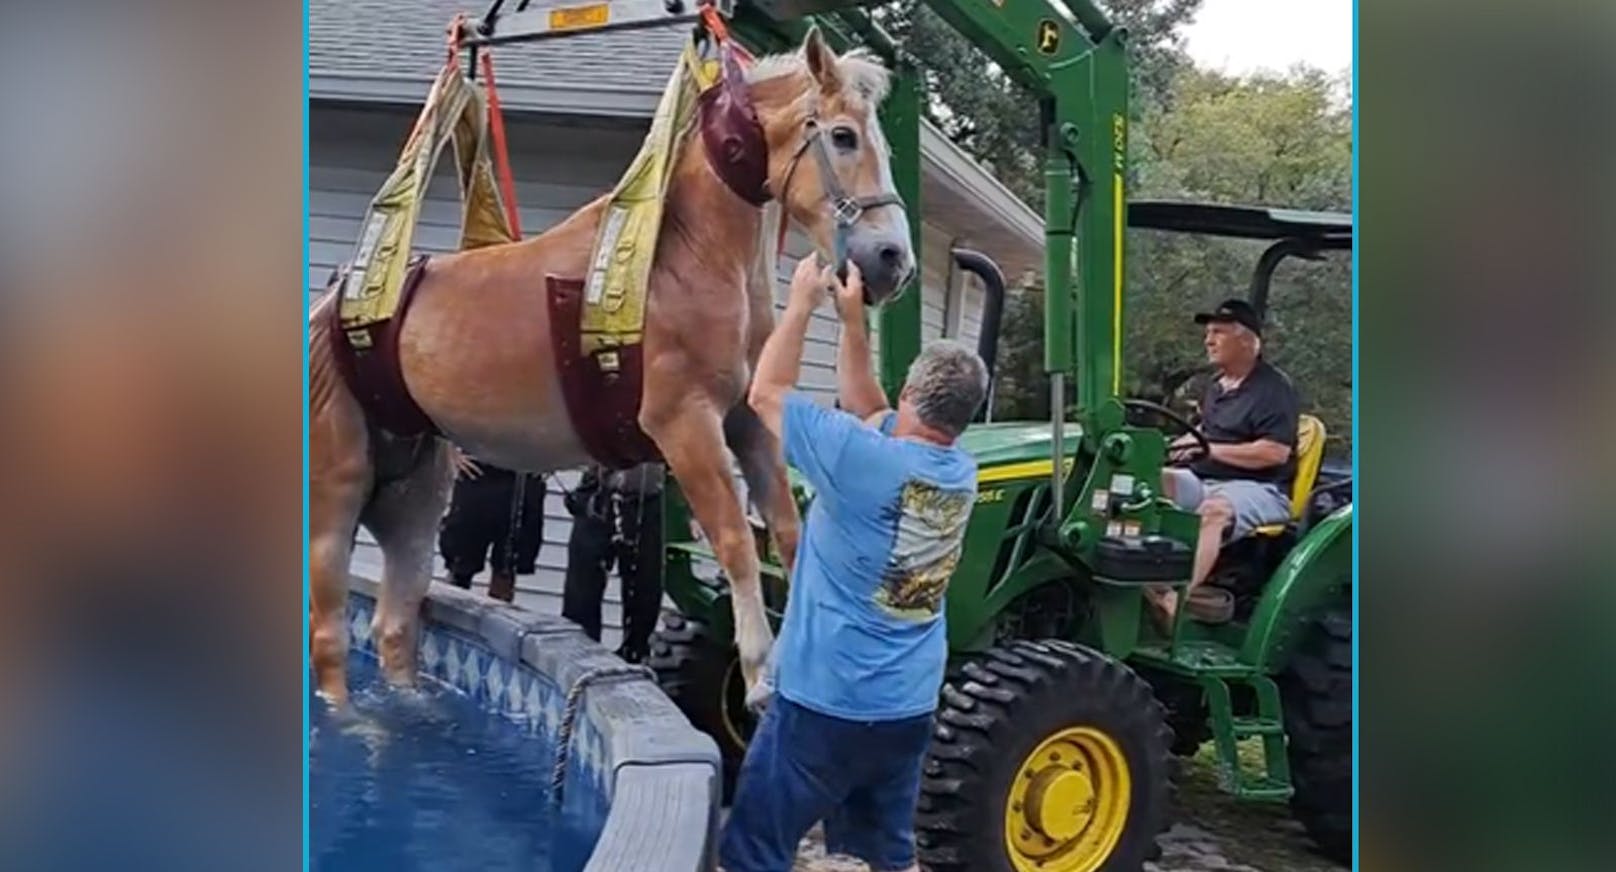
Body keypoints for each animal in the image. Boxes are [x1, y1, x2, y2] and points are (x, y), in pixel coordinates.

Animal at [308, 27, 917, 707]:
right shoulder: (684, 423)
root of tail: (331, 303)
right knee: (328, 636)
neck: (682, 256)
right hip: (334, 491)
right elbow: (735, 538)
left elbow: (786, 530)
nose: (893, 260)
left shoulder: (749, 422)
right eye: (843, 136)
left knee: (394, 625)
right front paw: (762, 675)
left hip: (412, 489)